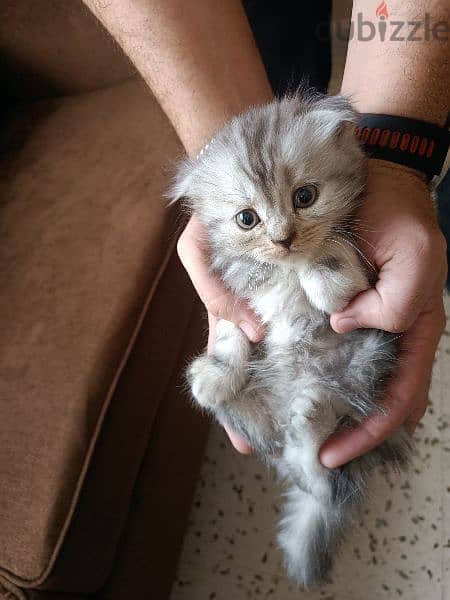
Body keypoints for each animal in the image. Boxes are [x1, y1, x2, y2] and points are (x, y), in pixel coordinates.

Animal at [171, 91, 414, 588]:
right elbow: (231, 334)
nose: (284, 239)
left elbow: (332, 262)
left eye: (305, 197)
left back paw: (313, 411)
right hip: (260, 426)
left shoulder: (360, 283)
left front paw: (318, 262)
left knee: (326, 468)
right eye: (246, 219)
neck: (283, 268)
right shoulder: (236, 300)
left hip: (371, 358)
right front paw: (218, 372)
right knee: (297, 460)